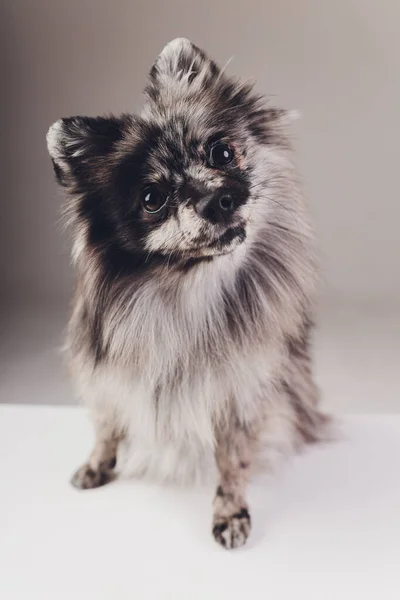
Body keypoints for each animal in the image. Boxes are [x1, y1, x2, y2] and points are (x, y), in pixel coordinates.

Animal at [47, 39, 328, 552]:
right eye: (152, 199)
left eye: (223, 152)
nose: (217, 199)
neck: (188, 291)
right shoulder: (108, 374)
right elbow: (106, 421)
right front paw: (98, 464)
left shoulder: (241, 393)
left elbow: (233, 460)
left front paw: (230, 512)